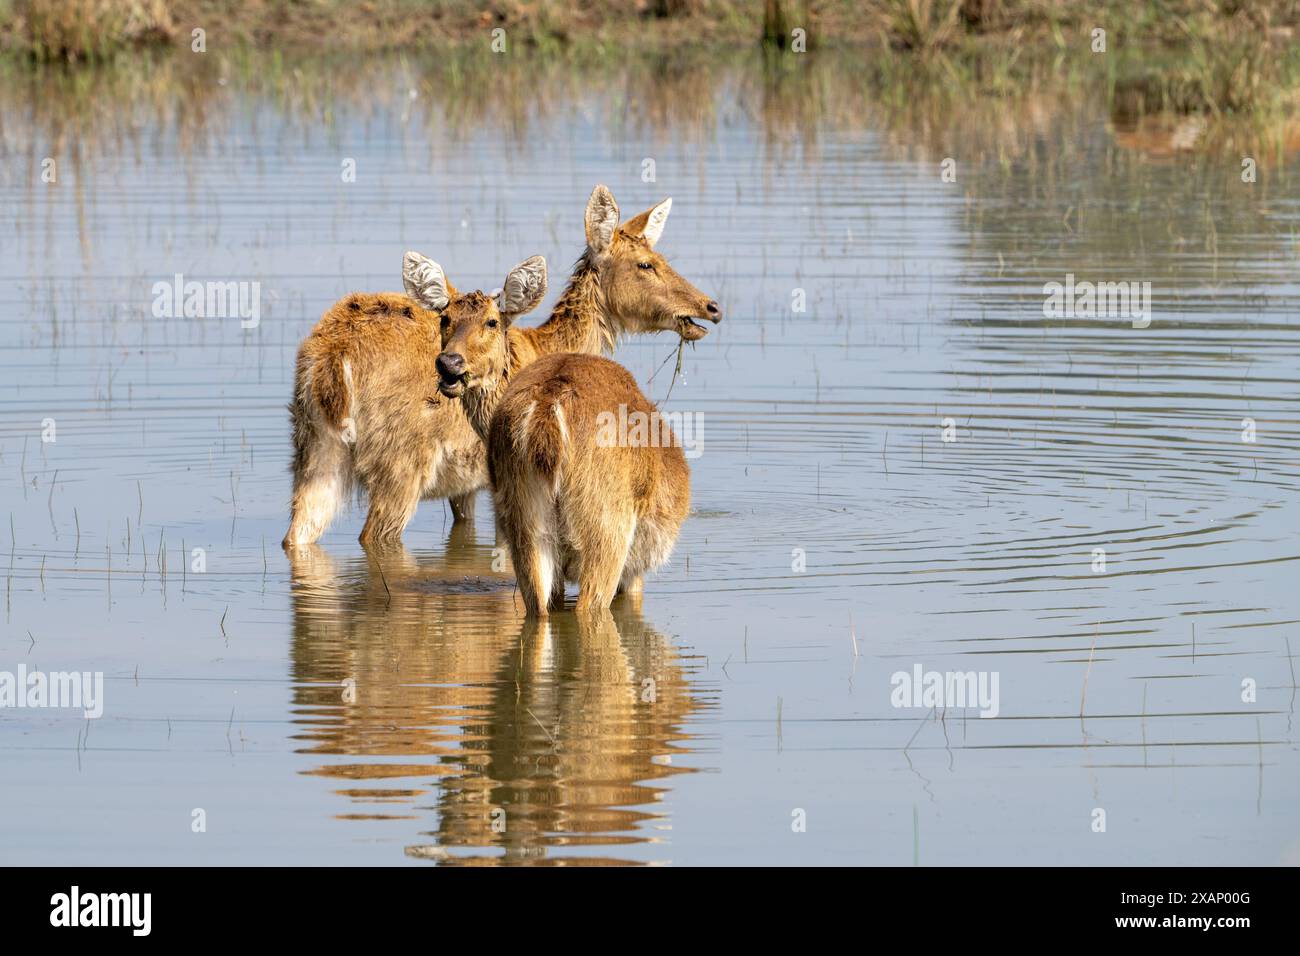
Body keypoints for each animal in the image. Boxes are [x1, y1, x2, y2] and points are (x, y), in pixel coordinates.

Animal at [280, 184, 722, 548]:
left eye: (660, 257)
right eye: (646, 264)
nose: (710, 306)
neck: (546, 344)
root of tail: (332, 359)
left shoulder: (467, 485)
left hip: (314, 450)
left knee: (296, 533)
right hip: (399, 463)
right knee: (374, 535)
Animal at [410, 193, 722, 616]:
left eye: (491, 321)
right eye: (646, 263)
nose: (711, 307)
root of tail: (547, 420)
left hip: (528, 523)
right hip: (606, 527)